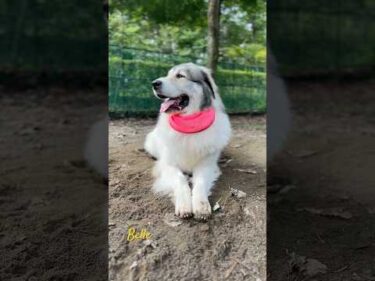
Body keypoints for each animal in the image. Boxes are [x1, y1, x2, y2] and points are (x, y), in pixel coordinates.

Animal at [145, 63, 231, 219]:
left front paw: (201, 205)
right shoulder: (168, 165)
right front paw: (184, 205)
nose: (154, 83)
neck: (189, 124)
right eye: (168, 74)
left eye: (180, 76)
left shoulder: (206, 165)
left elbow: (200, 182)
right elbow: (181, 180)